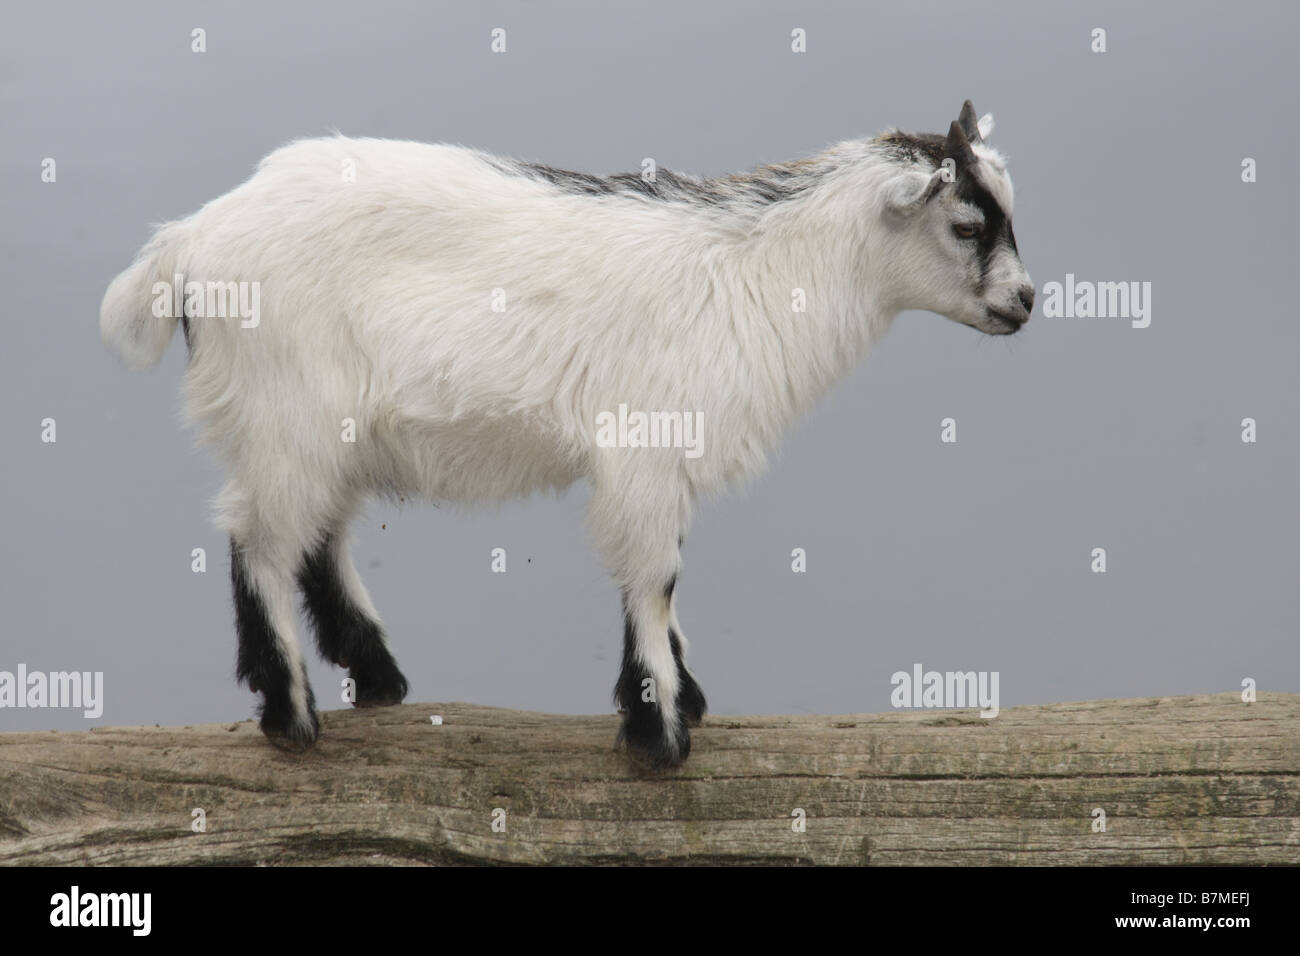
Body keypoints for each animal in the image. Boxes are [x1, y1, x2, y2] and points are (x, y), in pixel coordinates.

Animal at [101, 98, 1029, 770]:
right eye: (966, 226)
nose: (1024, 302)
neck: (756, 270)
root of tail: (189, 239)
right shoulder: (644, 448)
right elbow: (654, 575)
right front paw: (661, 733)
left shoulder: (663, 456)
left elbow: (666, 570)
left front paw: (682, 695)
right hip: (285, 412)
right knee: (259, 540)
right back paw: (291, 714)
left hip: (324, 430)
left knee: (316, 537)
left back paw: (378, 676)